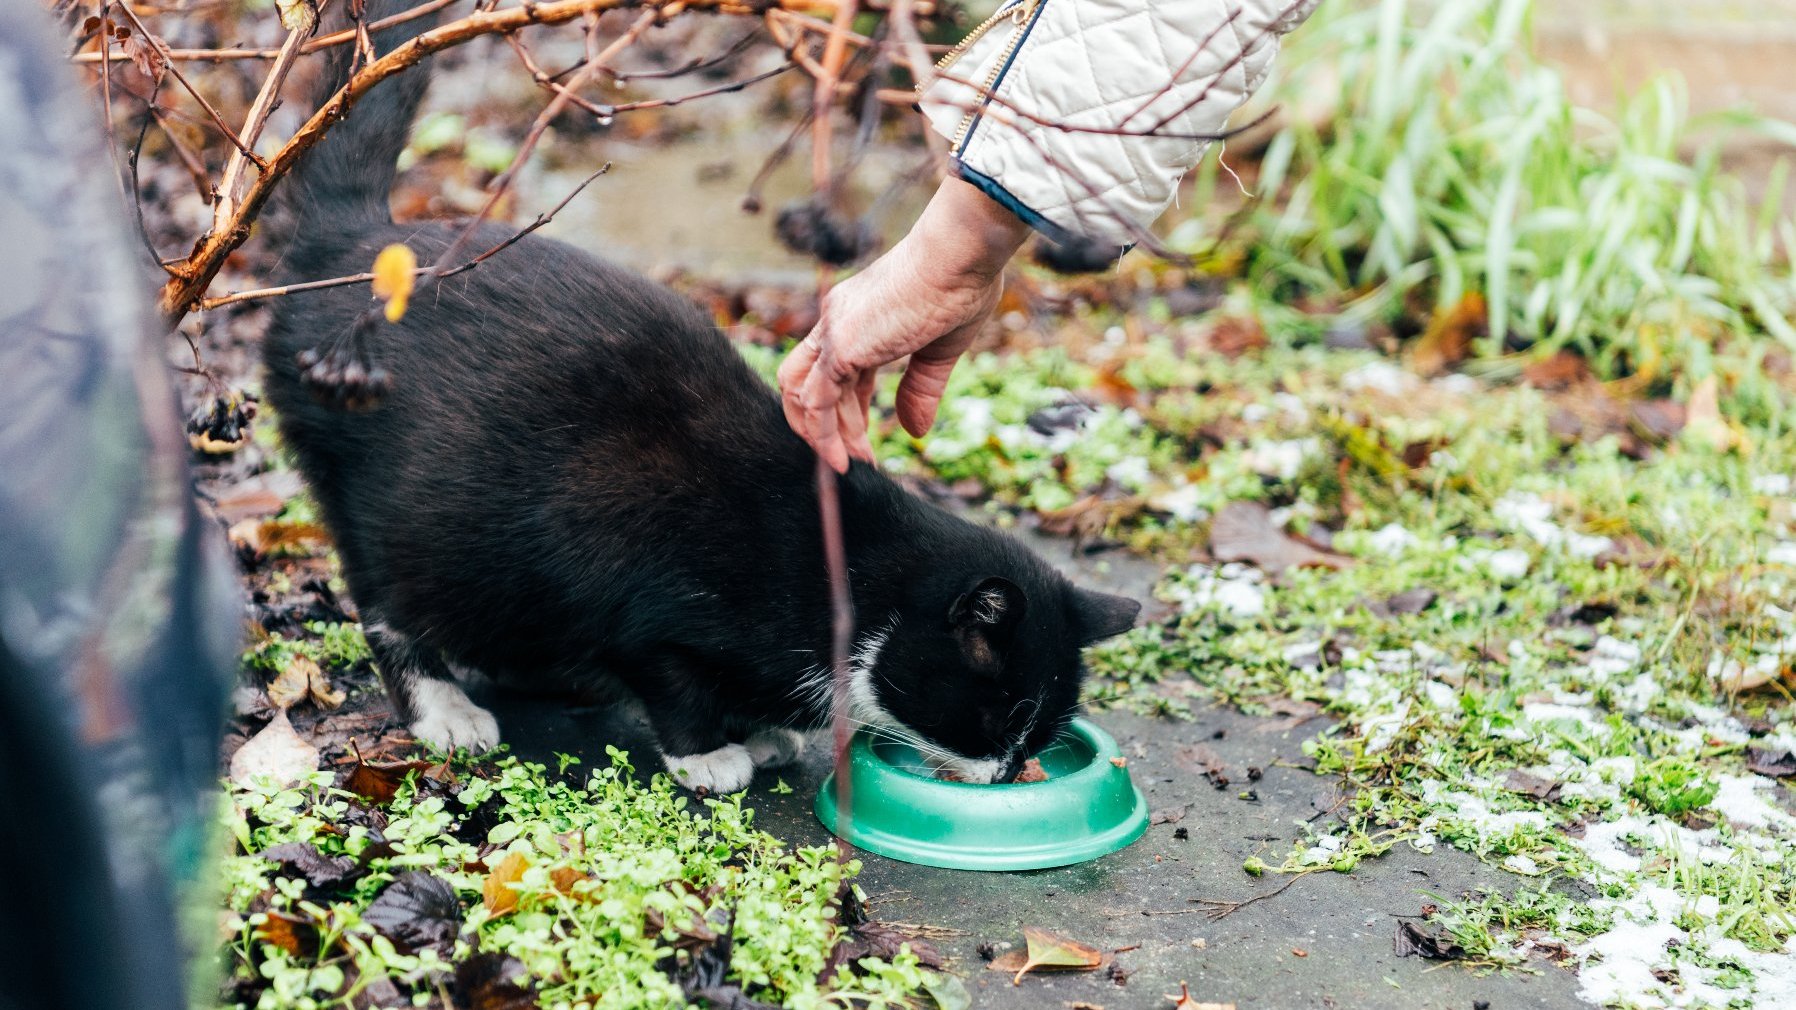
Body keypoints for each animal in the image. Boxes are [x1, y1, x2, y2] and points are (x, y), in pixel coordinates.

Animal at [258, 0, 1135, 790]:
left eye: (1039, 733)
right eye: (995, 716)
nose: (1008, 772)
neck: (854, 575)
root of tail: (356, 244)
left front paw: (769, 728)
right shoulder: (643, 597)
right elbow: (670, 679)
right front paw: (710, 754)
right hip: (388, 502)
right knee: (385, 599)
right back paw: (443, 705)